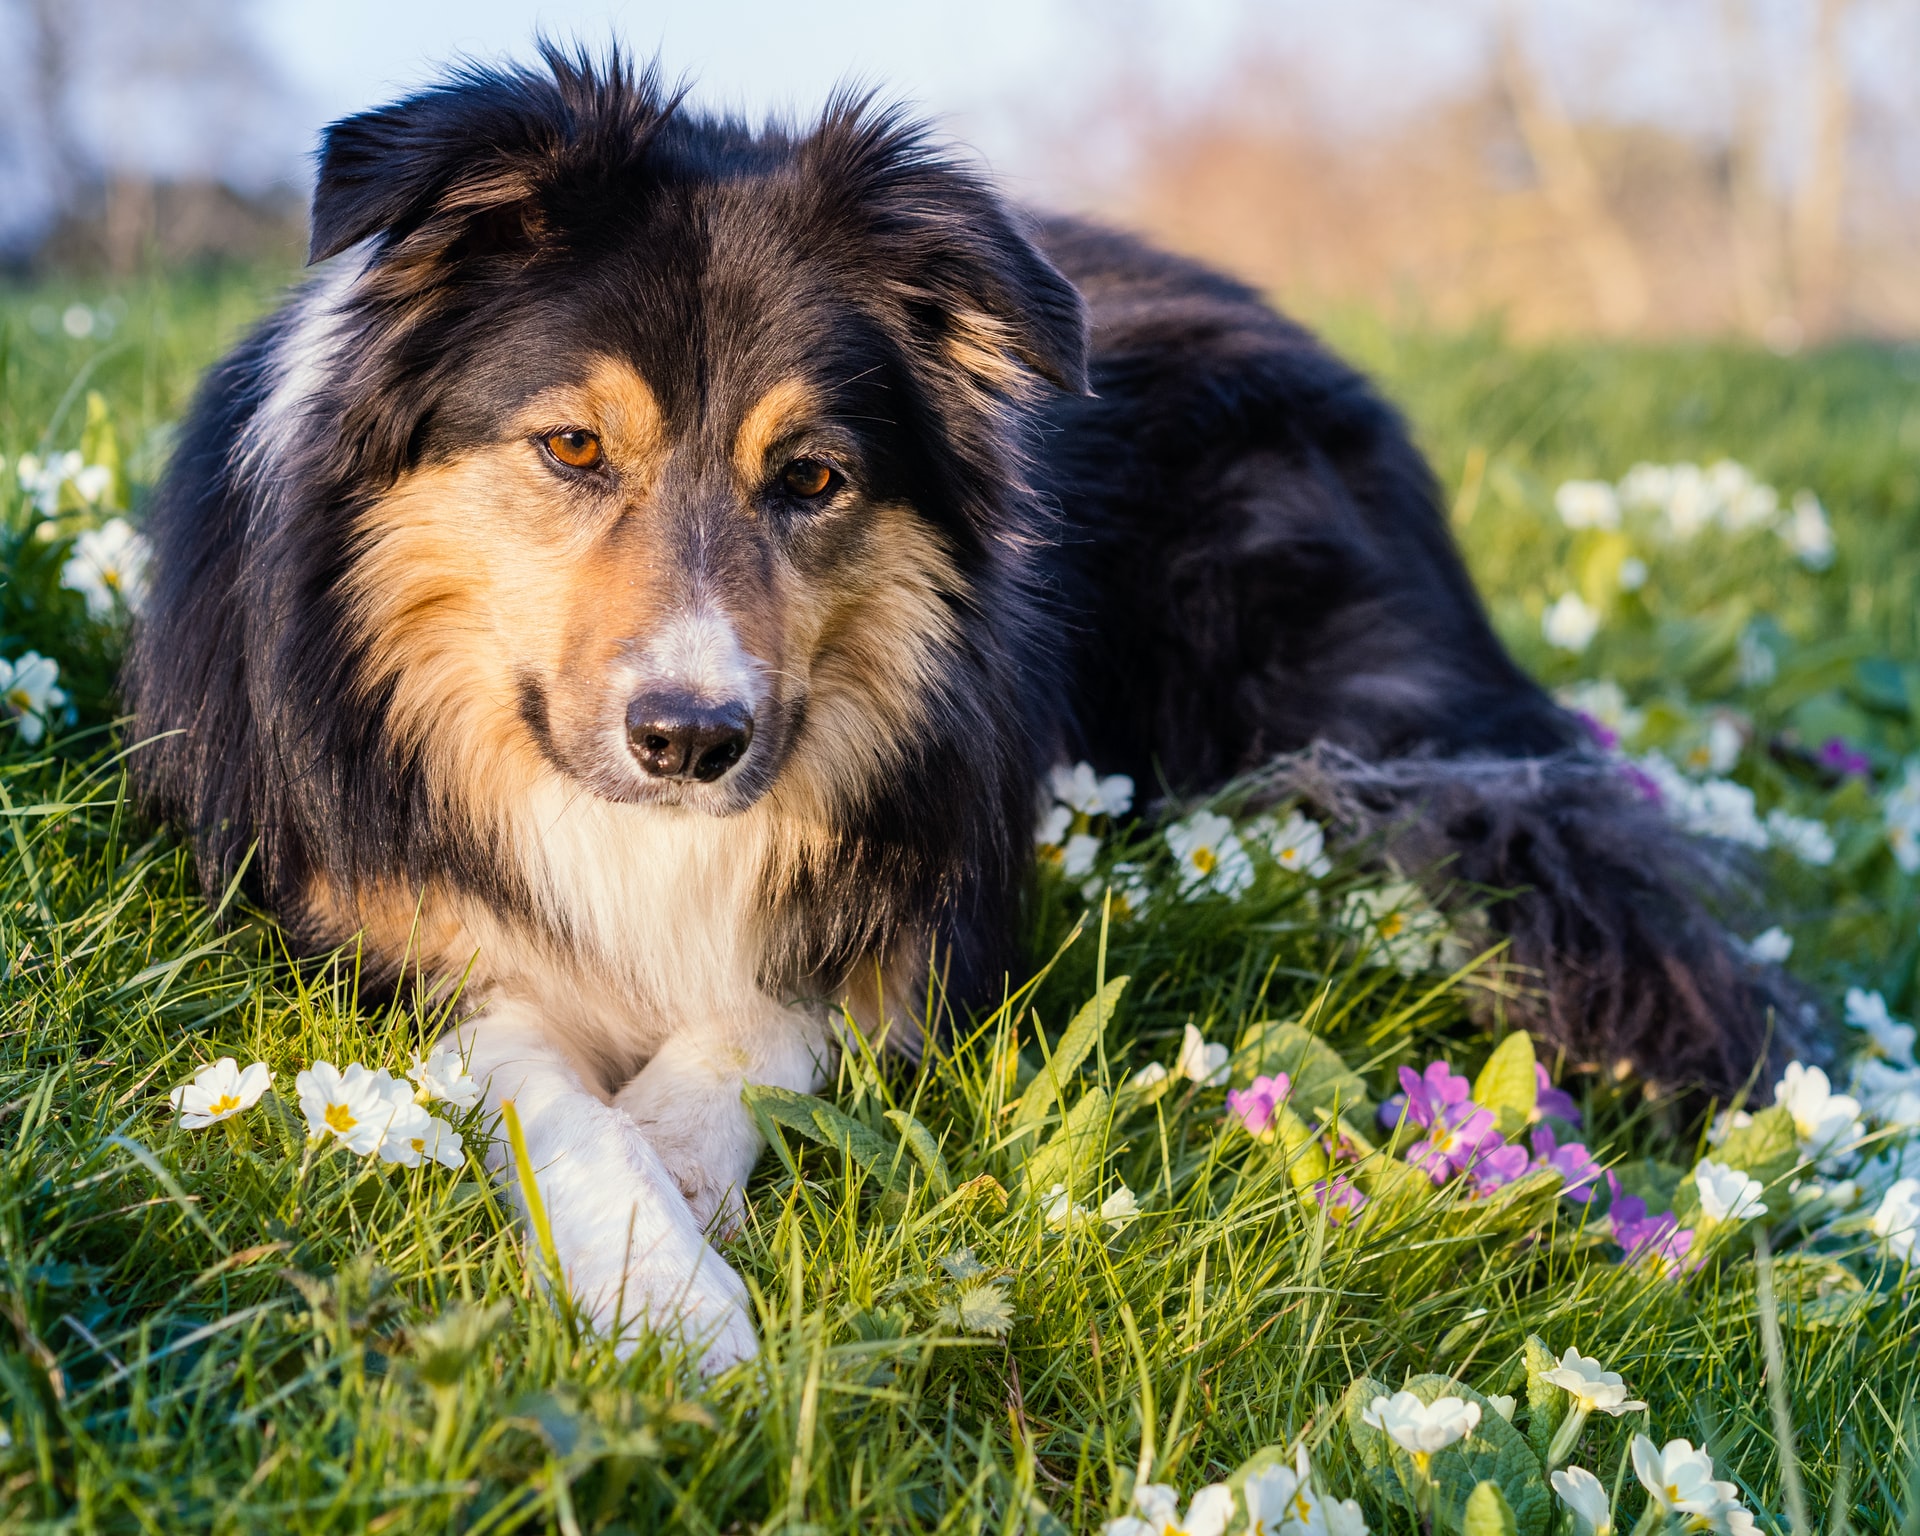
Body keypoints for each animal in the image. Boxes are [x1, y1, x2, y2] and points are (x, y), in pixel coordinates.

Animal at [127, 45, 1804, 1367]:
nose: (692, 743)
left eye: (813, 479)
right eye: (573, 449)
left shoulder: (932, 889)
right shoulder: (371, 931)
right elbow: (548, 1090)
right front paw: (663, 1289)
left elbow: (766, 1013)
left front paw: (684, 1167)